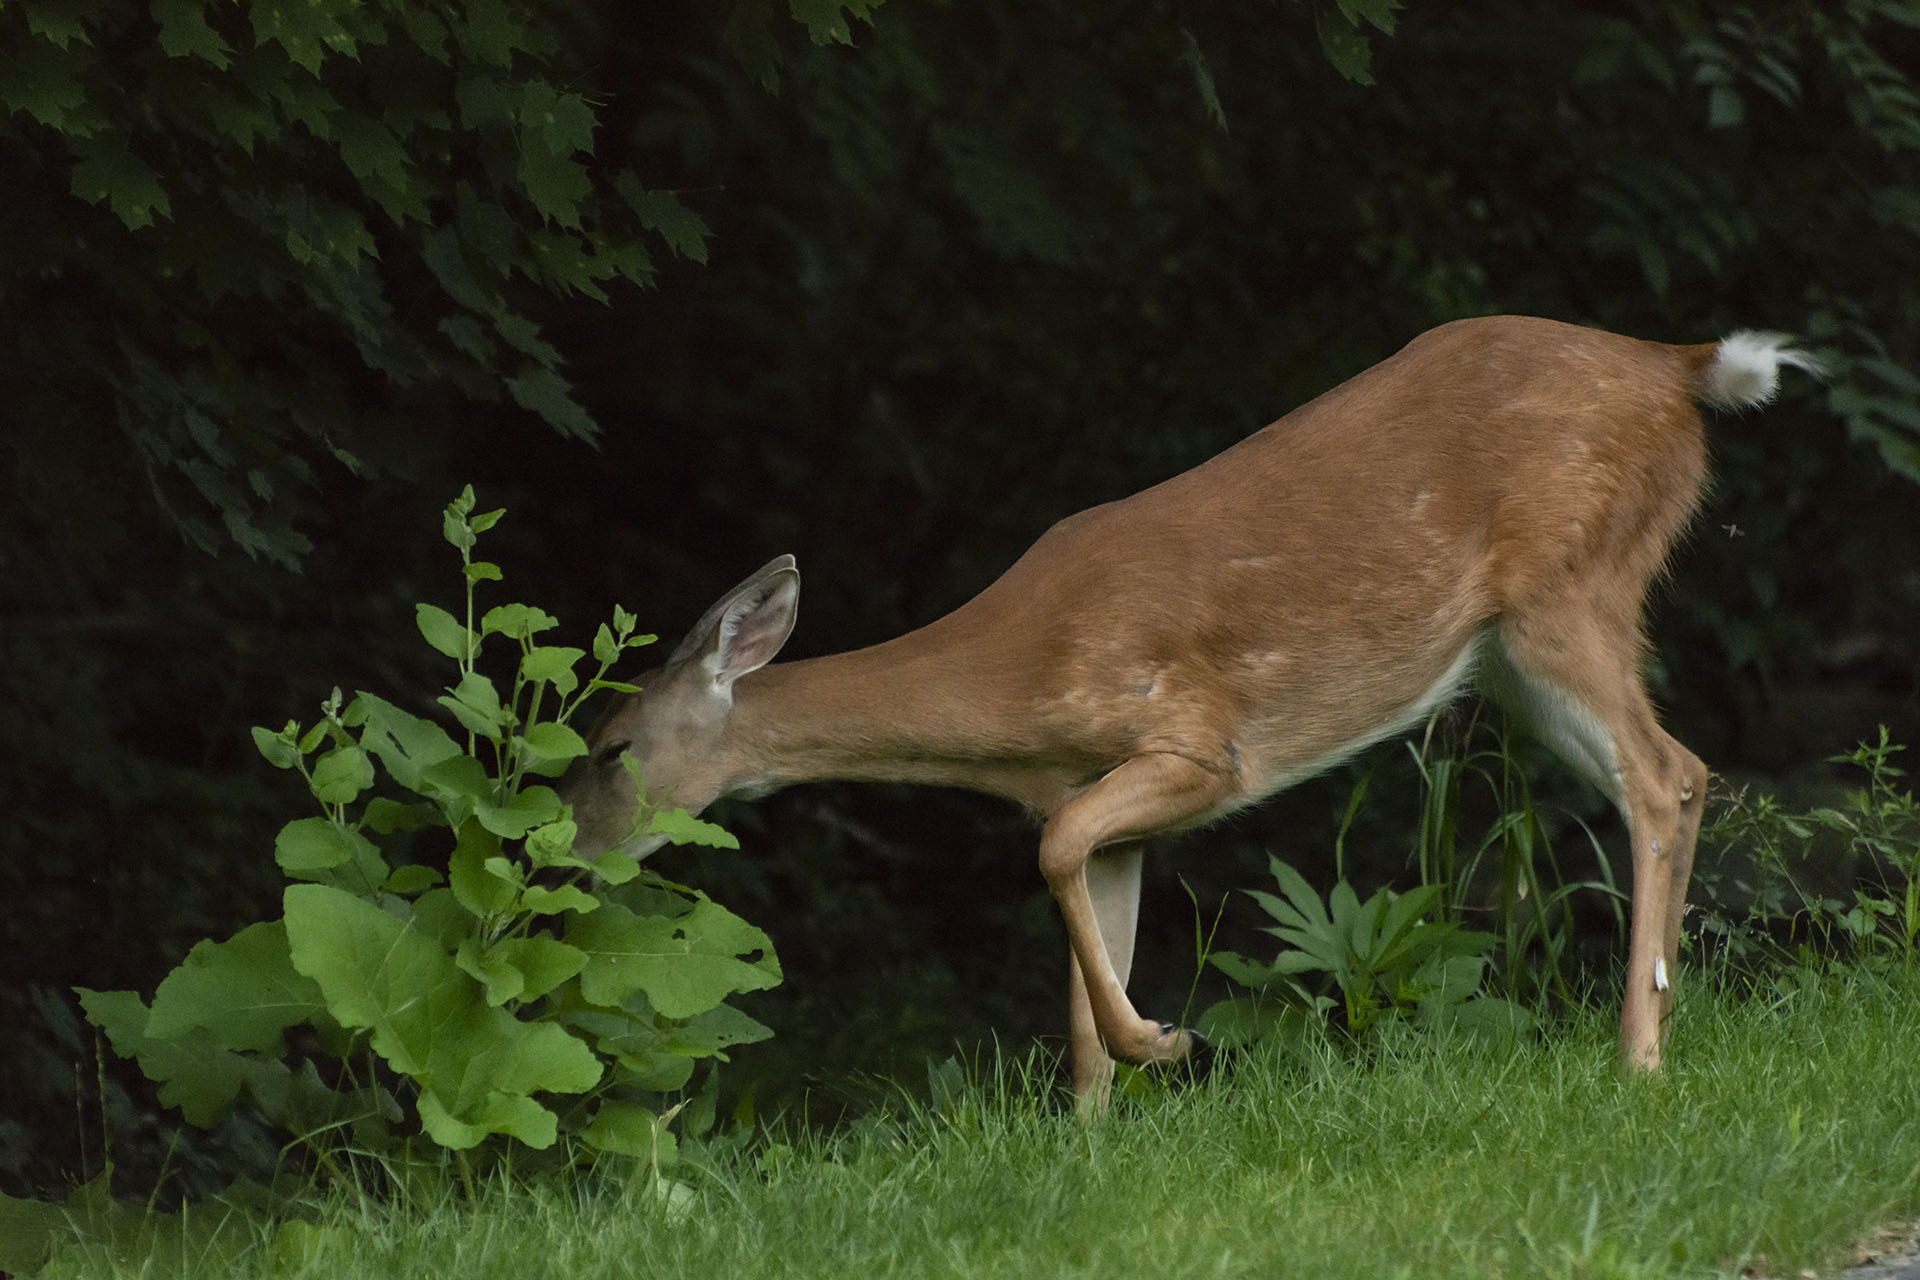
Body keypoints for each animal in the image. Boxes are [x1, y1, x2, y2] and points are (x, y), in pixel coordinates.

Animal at [560, 314, 1820, 1105]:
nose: (562, 851)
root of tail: (1676, 367)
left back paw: (1637, 1058)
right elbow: (1084, 948)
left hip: (1573, 584)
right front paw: (1091, 1134)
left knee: (1665, 772)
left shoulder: (1198, 744)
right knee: (1677, 772)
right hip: (1512, 655)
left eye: (613, 747)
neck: (1019, 689)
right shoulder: (1102, 799)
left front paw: (1166, 1039)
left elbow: (1061, 866)